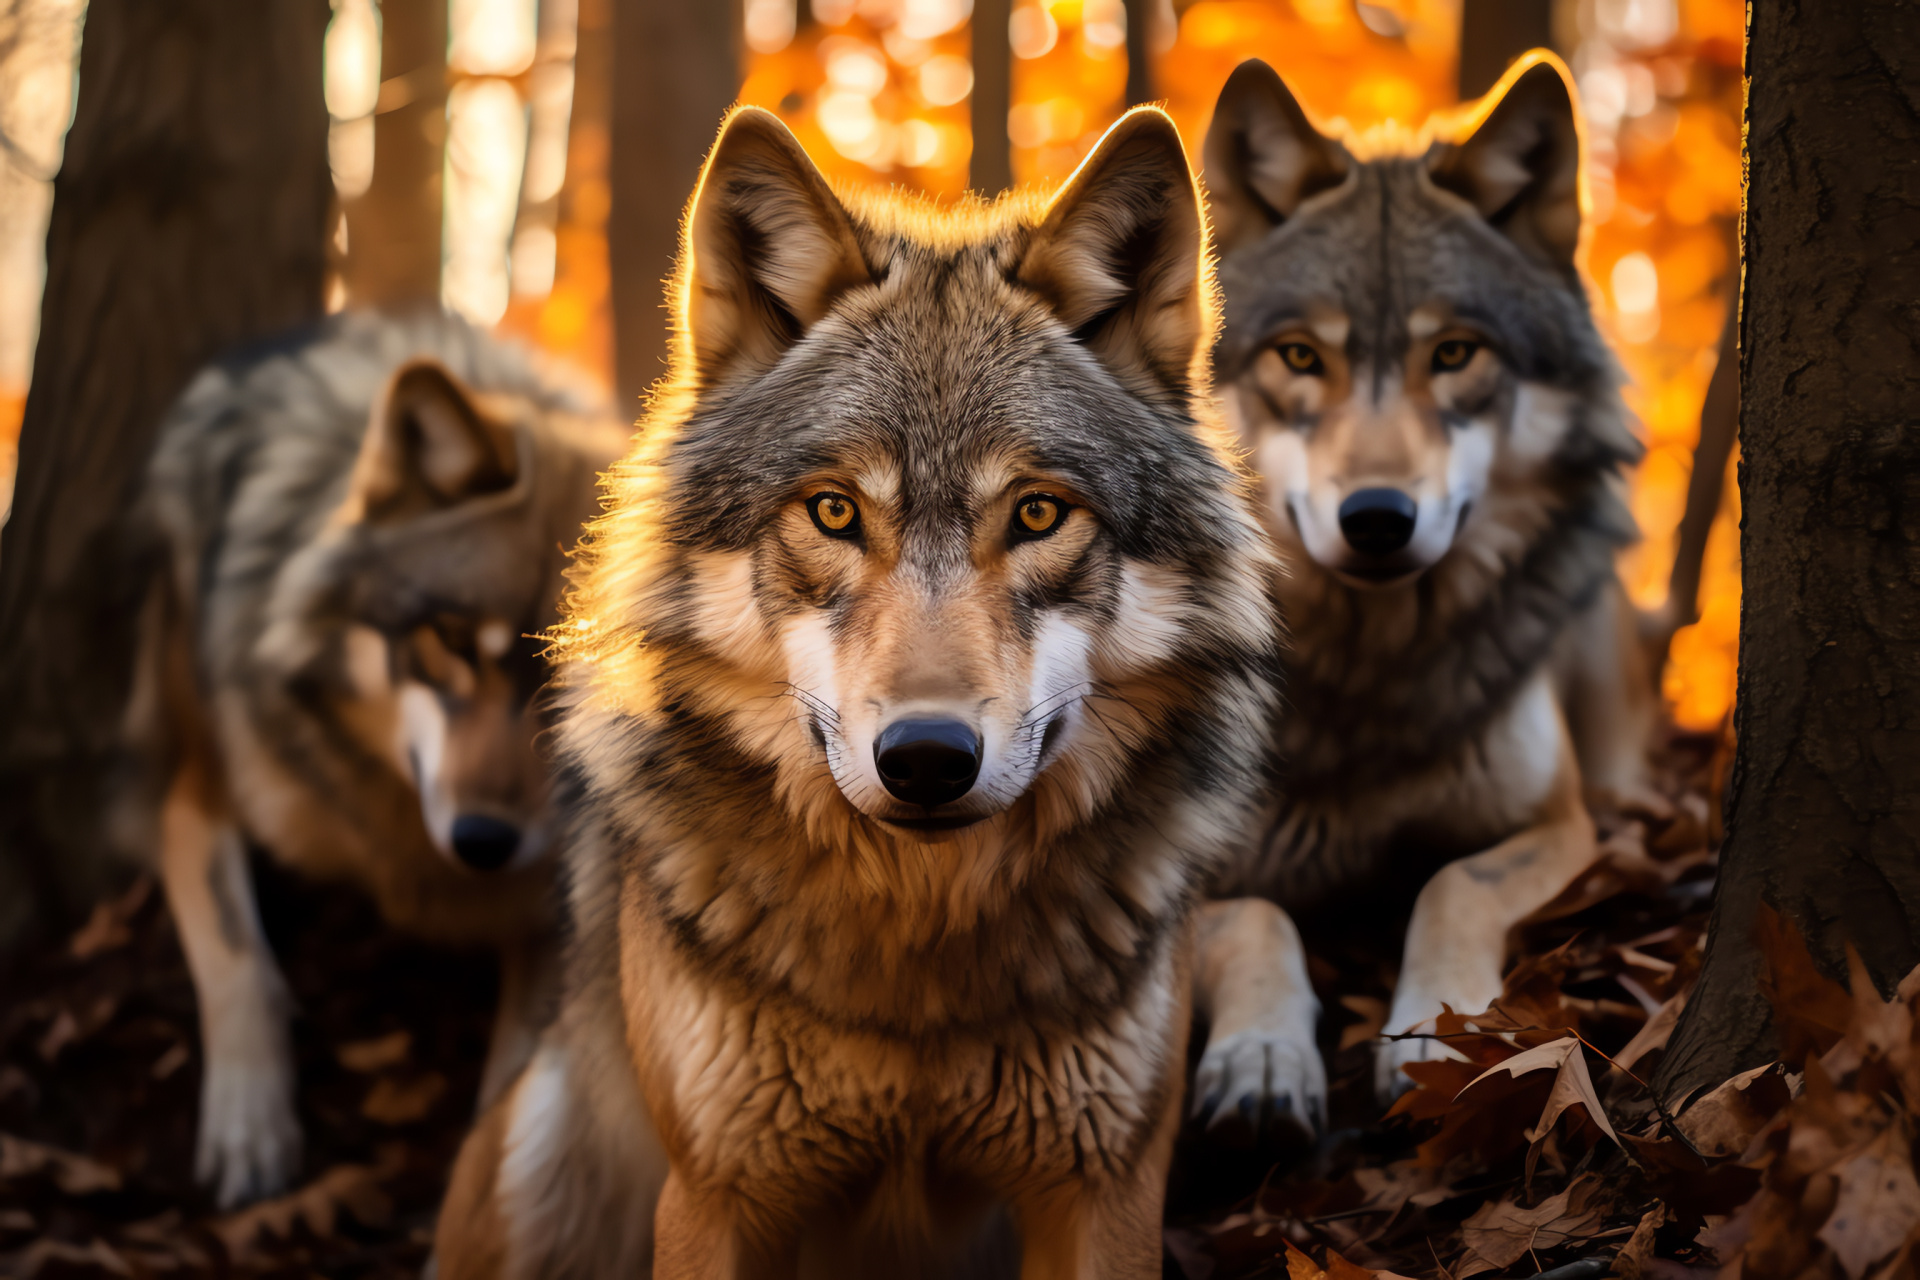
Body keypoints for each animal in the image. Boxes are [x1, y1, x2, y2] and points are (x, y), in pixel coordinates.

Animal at [127, 310, 622, 1205]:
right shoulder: (194, 791)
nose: (482, 843)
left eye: (579, 676)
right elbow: (238, 957)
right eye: (450, 642)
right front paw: (249, 1127)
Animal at [430, 110, 1320, 1280]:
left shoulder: (1103, 1194)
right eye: (835, 511)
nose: (928, 757)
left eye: (1039, 513)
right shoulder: (717, 1199)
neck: (918, 959)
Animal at [1205, 52, 1658, 1113]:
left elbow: (1451, 887)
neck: (1370, 671)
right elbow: (1253, 913)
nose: (1377, 518)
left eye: (1454, 353)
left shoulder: (1561, 826)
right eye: (1300, 356)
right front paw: (1259, 1056)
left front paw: (1438, 1035)